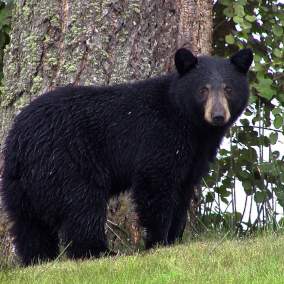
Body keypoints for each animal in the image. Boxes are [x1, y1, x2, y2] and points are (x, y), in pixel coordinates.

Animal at [0, 47, 253, 266]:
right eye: (203, 89)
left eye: (229, 89)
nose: (218, 115)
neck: (191, 125)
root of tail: (20, 141)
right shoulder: (158, 137)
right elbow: (155, 186)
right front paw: (157, 243)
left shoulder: (195, 157)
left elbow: (183, 192)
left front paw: (174, 239)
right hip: (66, 163)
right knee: (82, 207)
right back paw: (100, 252)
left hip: (18, 182)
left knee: (28, 224)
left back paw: (38, 259)